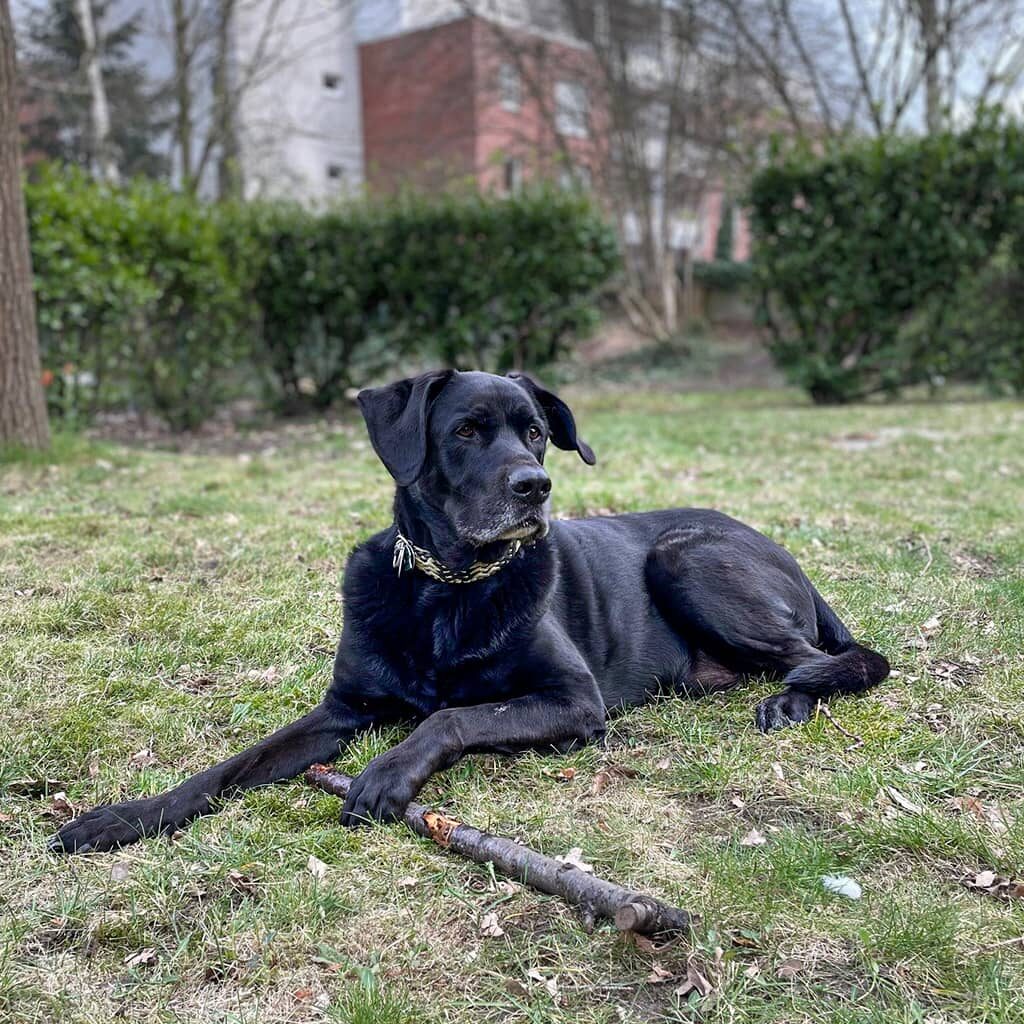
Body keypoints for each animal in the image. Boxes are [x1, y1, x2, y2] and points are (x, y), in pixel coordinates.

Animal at [54, 372, 888, 851]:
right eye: (464, 431)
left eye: (537, 433)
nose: (535, 487)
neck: (445, 588)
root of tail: (787, 554)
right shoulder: (342, 707)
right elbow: (231, 766)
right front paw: (122, 817)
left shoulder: (572, 700)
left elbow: (451, 717)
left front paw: (388, 772)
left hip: (683, 556)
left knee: (842, 657)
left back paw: (793, 700)